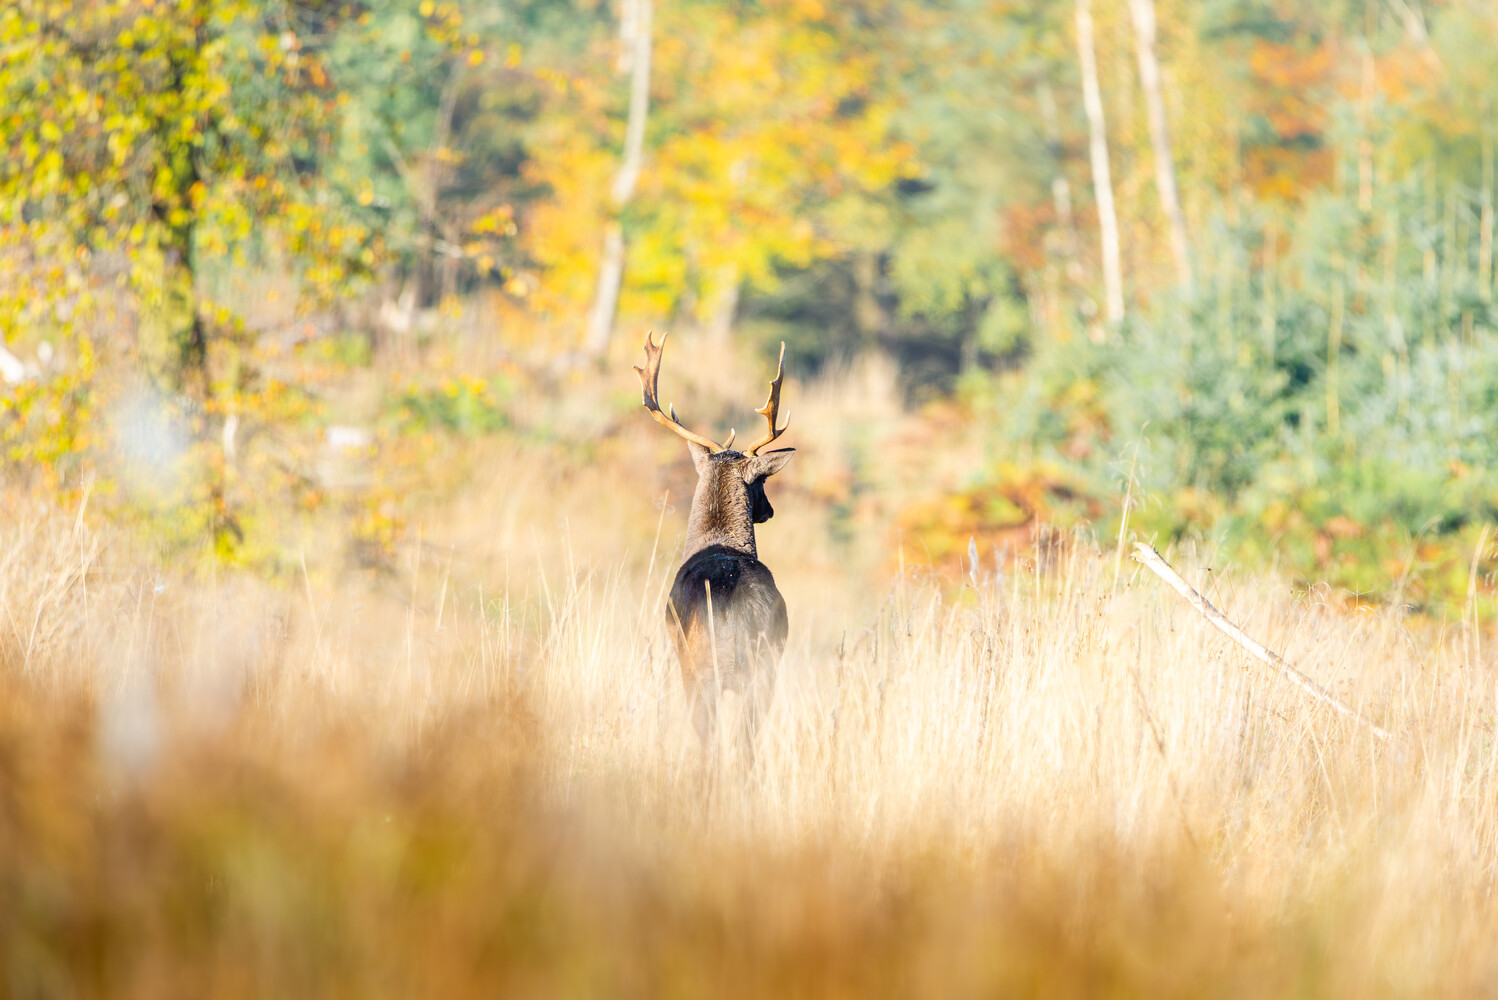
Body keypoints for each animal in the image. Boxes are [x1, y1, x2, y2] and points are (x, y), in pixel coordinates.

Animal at [633, 331, 794, 765]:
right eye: (763, 483)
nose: (769, 510)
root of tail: (742, 614)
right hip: (765, 669)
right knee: (747, 745)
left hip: (702, 670)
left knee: (711, 742)